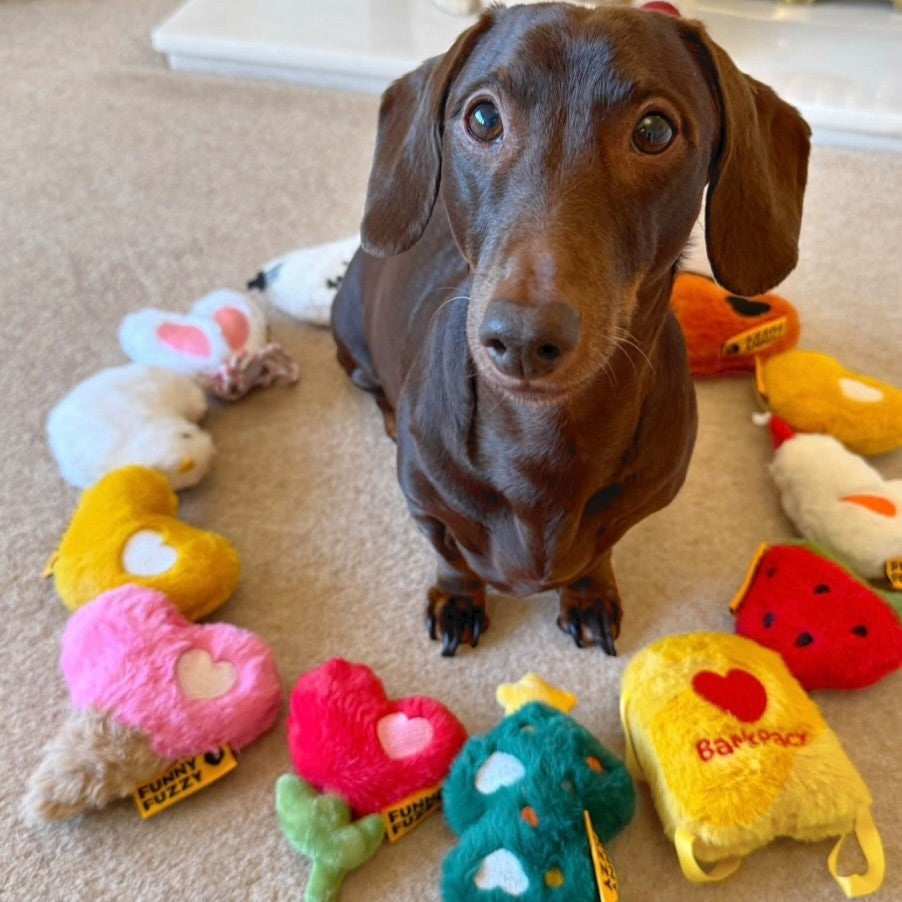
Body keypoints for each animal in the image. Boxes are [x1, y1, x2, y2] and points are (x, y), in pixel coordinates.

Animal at [331, 3, 810, 656]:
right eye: (483, 116)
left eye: (654, 131)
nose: (523, 339)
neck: (541, 442)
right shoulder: (425, 506)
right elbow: (451, 558)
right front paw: (457, 601)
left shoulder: (637, 507)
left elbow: (599, 552)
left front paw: (588, 595)